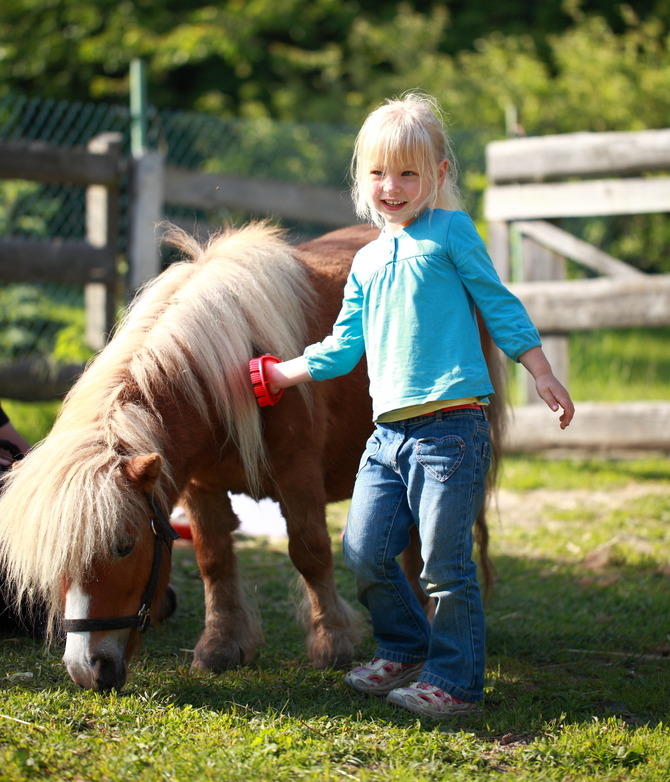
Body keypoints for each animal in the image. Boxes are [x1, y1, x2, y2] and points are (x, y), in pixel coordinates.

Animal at [0, 222, 504, 692]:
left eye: (124, 545)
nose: (87, 669)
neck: (227, 374)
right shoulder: (199, 487)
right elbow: (214, 560)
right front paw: (222, 645)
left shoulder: (298, 476)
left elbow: (310, 552)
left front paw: (332, 640)